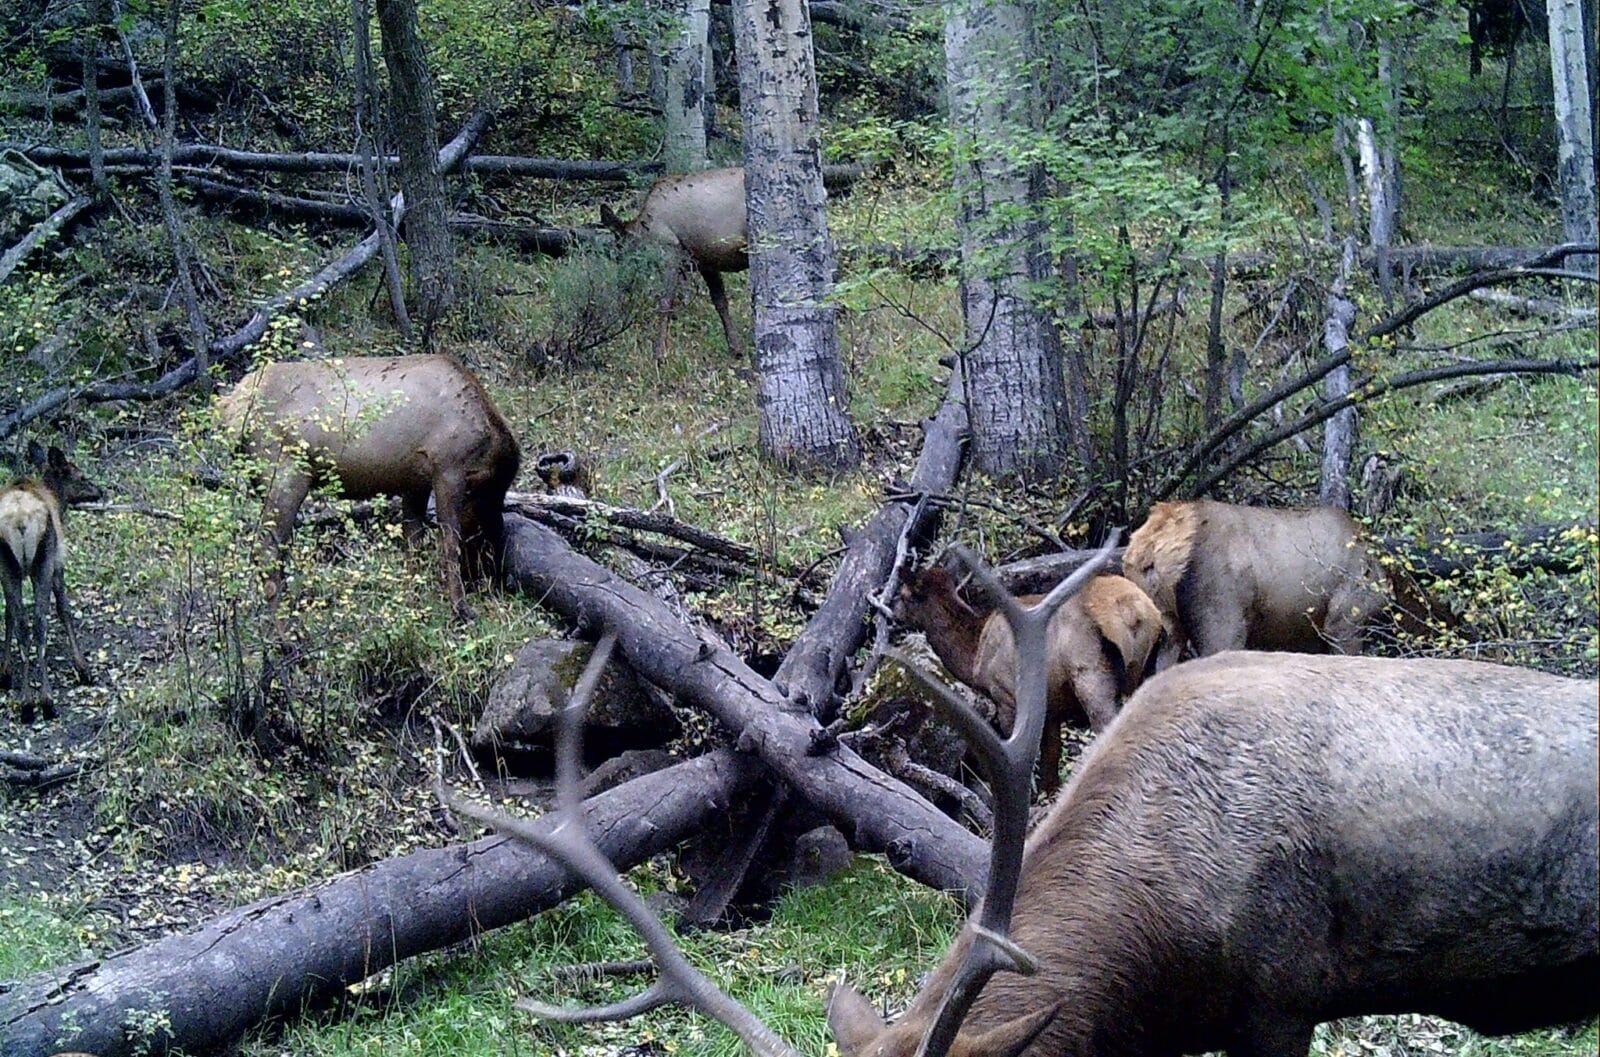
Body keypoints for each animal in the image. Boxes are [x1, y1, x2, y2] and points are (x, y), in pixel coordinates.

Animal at [1, 441, 103, 722]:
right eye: (81, 476)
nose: (100, 490)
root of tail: (20, 520)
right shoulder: (58, 562)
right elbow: (64, 609)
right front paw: (83, 668)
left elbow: (9, 616)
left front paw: (5, 672)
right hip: (43, 562)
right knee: (39, 622)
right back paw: (45, 702)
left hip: (8, 564)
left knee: (22, 622)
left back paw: (26, 703)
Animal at [215, 354, 521, 622]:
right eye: (485, 532)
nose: (492, 580)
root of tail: (230, 408)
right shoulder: (448, 468)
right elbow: (448, 543)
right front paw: (460, 608)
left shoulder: (415, 483)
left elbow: (413, 544)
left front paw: (413, 604)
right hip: (285, 473)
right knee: (267, 550)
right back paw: (288, 636)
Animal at [600, 166, 747, 359]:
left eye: (621, 254)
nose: (622, 284)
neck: (644, 229)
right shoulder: (705, 261)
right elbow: (720, 302)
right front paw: (735, 348)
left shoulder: (670, 252)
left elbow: (666, 302)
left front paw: (659, 353)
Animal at [894, 564, 1164, 793]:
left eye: (904, 595)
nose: (893, 615)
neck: (975, 658)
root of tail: (1136, 614)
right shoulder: (1052, 706)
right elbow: (1050, 756)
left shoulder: (1005, 696)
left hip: (1090, 673)